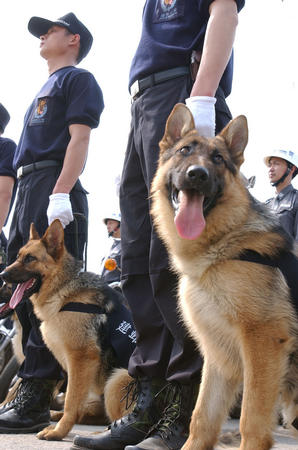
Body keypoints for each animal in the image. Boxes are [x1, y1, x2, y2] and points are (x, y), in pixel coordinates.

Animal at [0, 221, 134, 440]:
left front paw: (58, 432)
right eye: (19, 256)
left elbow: (71, 400)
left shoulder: (80, 359)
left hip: (117, 379)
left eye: (30, 258)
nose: (2, 274)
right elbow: (71, 397)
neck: (64, 290)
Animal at [151, 103, 298, 448]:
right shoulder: (218, 357)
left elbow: (251, 419)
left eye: (218, 159)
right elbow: (202, 418)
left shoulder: (263, 342)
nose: (197, 174)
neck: (221, 248)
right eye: (184, 151)